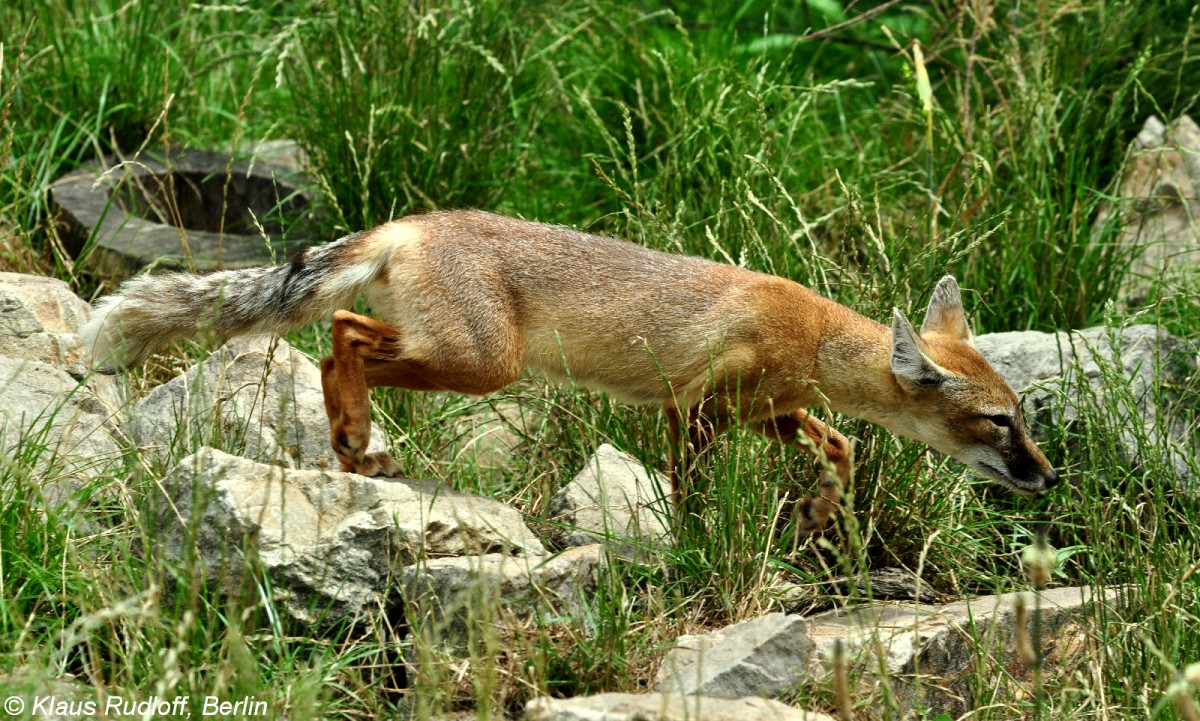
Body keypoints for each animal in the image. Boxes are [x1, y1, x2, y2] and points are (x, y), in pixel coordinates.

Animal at [82, 206, 1060, 527]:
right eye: (1000, 422)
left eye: (1024, 415)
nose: (1050, 476)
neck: (817, 334)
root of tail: (413, 222)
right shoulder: (695, 411)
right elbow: (692, 493)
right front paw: (694, 540)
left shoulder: (766, 412)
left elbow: (843, 447)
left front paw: (823, 510)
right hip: (481, 364)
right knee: (343, 340)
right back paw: (359, 438)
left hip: (458, 357)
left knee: (337, 339)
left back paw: (353, 444)